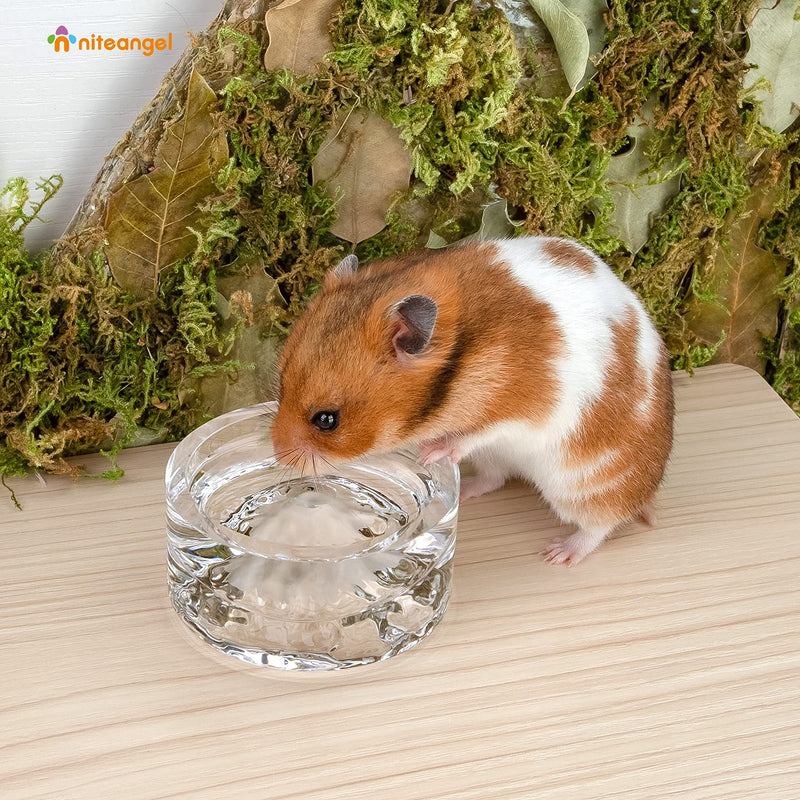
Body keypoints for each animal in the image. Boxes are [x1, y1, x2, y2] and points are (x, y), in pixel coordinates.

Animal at [271, 237, 674, 566]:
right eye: (281, 383)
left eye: (327, 420)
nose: (278, 457)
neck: (459, 357)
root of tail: (648, 490)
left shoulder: (518, 411)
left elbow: (473, 433)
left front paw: (430, 453)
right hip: (499, 460)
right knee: (496, 478)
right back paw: (466, 493)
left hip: (589, 487)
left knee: (601, 525)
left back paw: (559, 553)